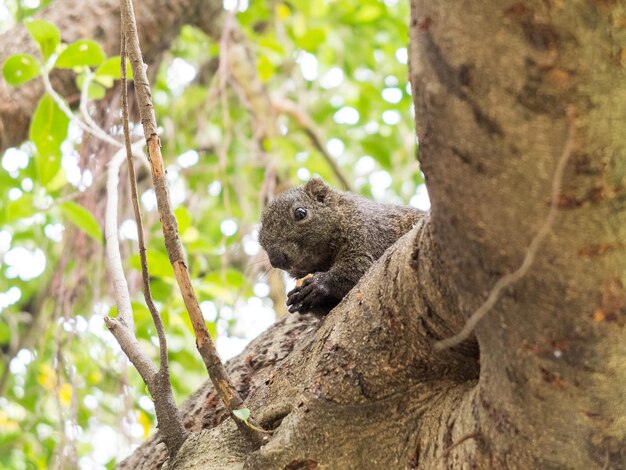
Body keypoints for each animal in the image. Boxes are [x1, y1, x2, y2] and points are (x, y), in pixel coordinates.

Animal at [258, 179, 424, 316]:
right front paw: (297, 299)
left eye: (300, 213)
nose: (276, 260)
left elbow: (359, 268)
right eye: (260, 240)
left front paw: (319, 283)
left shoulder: (366, 234)